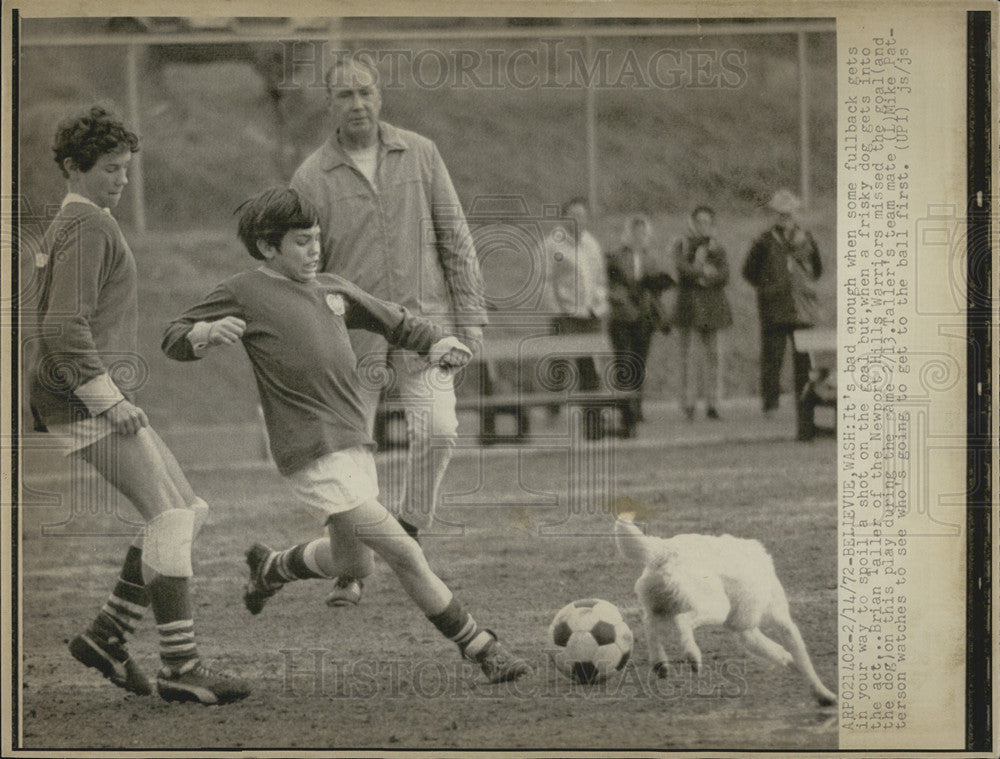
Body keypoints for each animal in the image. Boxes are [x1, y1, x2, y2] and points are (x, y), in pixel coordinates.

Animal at [616, 510, 836, 708]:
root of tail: (664, 549)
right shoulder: (781, 622)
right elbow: (803, 660)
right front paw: (824, 693)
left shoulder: (746, 631)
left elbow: (779, 652)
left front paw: (788, 662)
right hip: (716, 607)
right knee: (682, 620)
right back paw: (693, 655)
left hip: (660, 607)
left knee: (649, 626)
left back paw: (660, 663)